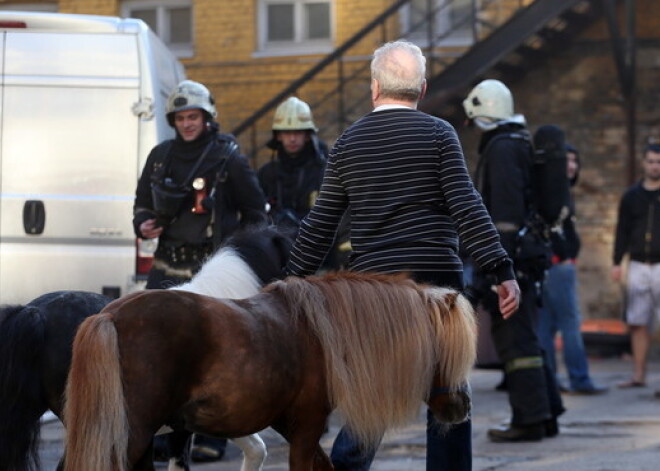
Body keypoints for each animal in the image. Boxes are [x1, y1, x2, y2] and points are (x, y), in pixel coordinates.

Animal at [63, 272, 474, 471]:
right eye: (447, 349)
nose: (461, 407)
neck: (320, 331)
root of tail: (110, 315)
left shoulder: (291, 427)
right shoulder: (307, 427)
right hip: (130, 435)